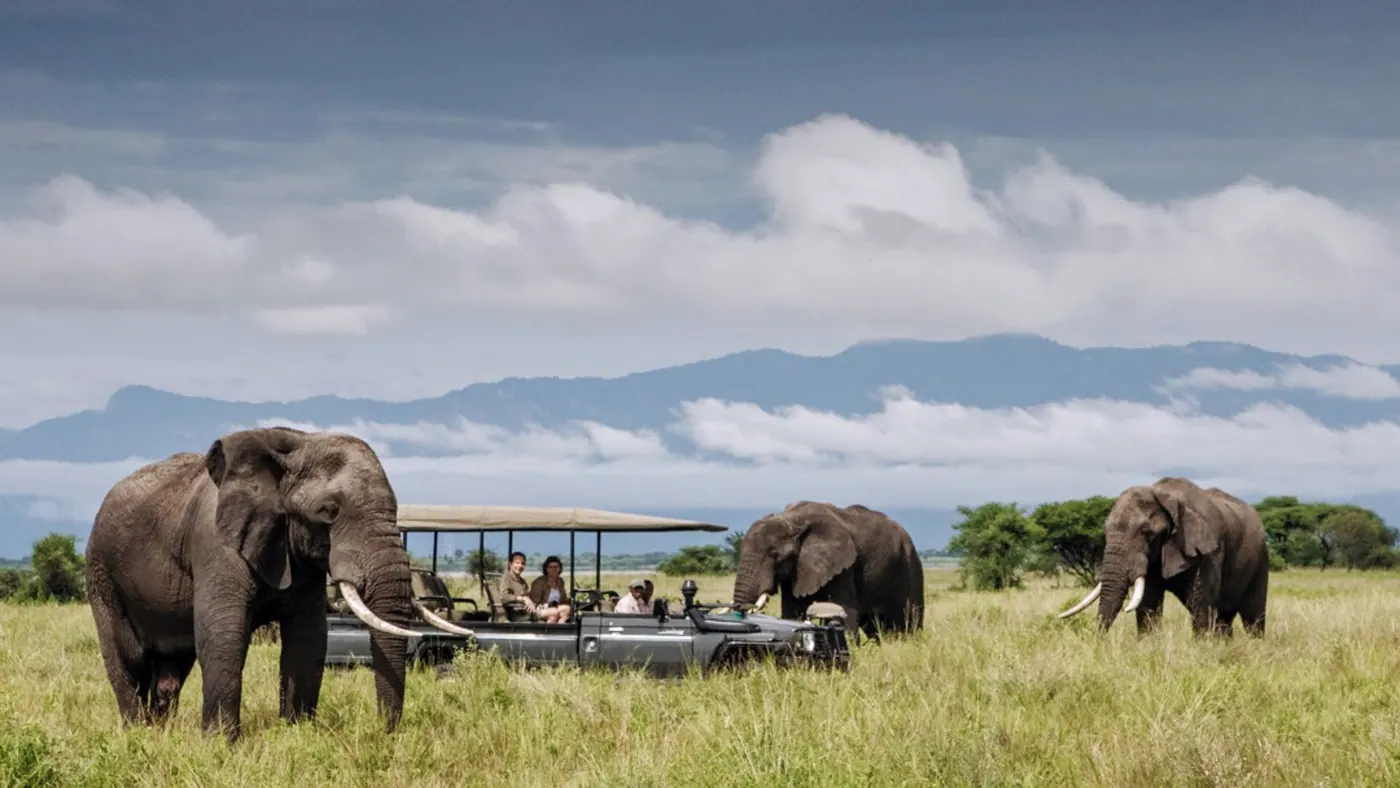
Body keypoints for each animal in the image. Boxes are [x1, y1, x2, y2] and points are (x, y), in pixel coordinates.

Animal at [84, 426, 476, 743]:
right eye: (328, 512)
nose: (386, 734)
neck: (297, 444)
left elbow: (308, 640)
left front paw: (297, 736)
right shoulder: (216, 544)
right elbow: (223, 637)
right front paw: (221, 747)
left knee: (172, 668)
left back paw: (160, 732)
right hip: (101, 572)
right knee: (128, 657)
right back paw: (137, 734)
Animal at [731, 500, 925, 641]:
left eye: (775, 555)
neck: (793, 519)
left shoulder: (844, 567)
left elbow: (844, 611)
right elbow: (792, 612)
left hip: (910, 565)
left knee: (909, 619)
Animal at [1057, 476, 1269, 637]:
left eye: (1148, 533)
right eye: (1105, 532)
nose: (1099, 641)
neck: (1164, 494)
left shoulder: (1210, 551)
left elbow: (1201, 603)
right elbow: (1148, 604)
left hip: (1261, 559)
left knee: (1252, 616)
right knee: (1225, 619)